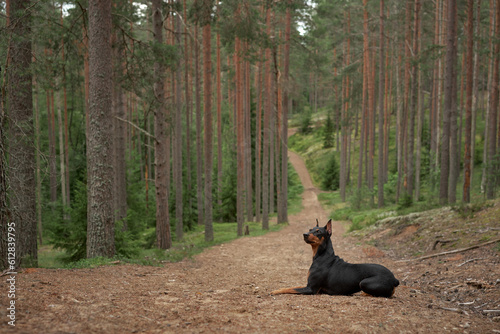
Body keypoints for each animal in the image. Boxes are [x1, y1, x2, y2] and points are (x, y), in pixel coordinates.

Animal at [272, 219, 400, 298]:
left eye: (318, 232)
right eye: (310, 229)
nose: (305, 234)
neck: (322, 256)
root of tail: (394, 278)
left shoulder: (312, 289)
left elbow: (290, 289)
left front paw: (275, 291)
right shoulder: (308, 285)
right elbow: (292, 286)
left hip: (364, 282)